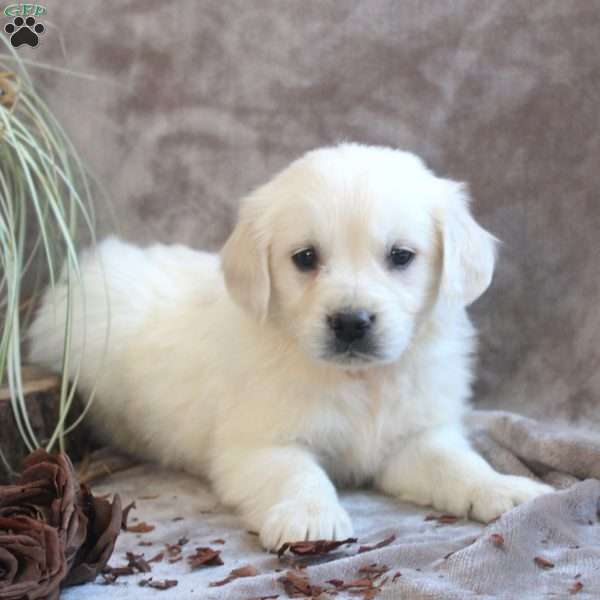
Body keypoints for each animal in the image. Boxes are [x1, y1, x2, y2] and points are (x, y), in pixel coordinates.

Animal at [28, 144, 552, 548]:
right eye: (305, 258)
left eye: (401, 256)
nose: (351, 322)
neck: (359, 380)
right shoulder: (261, 444)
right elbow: (298, 474)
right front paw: (309, 517)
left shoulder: (416, 437)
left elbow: (457, 464)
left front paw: (503, 488)